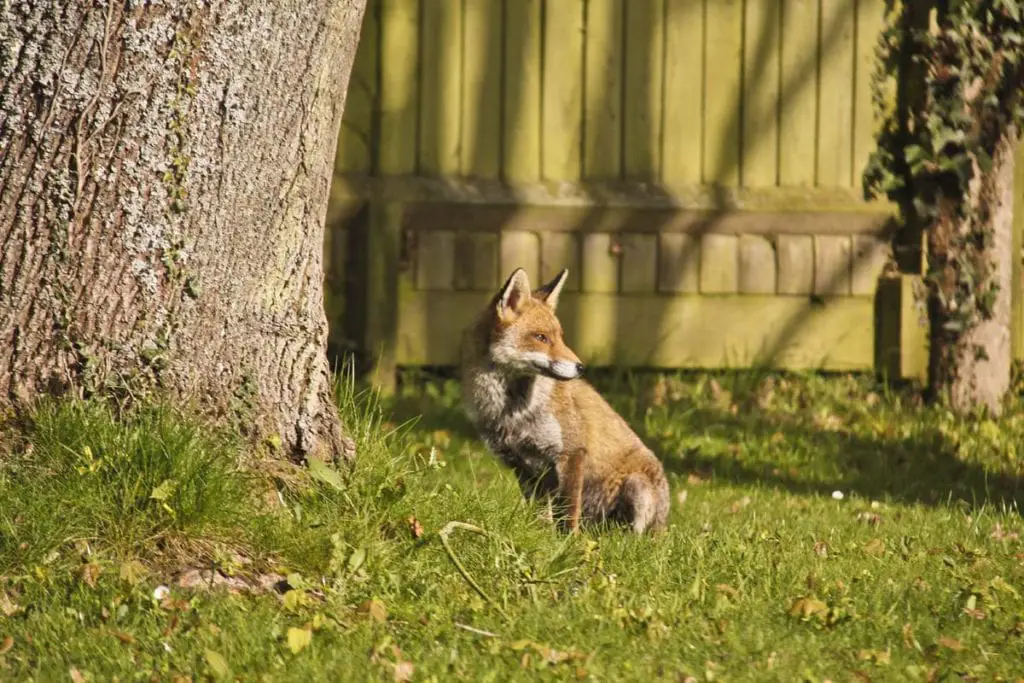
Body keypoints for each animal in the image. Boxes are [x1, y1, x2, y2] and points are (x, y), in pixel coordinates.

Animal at [458, 266, 667, 532]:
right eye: (541, 337)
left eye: (560, 337)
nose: (581, 367)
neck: (514, 412)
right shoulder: (522, 466)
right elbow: (539, 513)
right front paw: (540, 534)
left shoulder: (571, 452)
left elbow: (568, 512)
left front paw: (569, 540)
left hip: (637, 487)